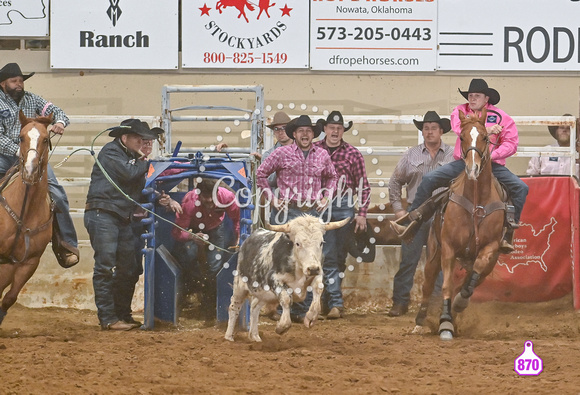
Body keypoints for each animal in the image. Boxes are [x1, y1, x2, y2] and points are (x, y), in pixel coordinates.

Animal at [414, 110, 506, 342]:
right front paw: (445, 322)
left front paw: (457, 305)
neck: (476, 203)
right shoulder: (448, 247)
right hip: (434, 254)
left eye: (485, 137)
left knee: (469, 280)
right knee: (428, 285)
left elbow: (469, 280)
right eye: (462, 137)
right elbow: (446, 285)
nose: (472, 169)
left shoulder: (490, 248)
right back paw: (420, 322)